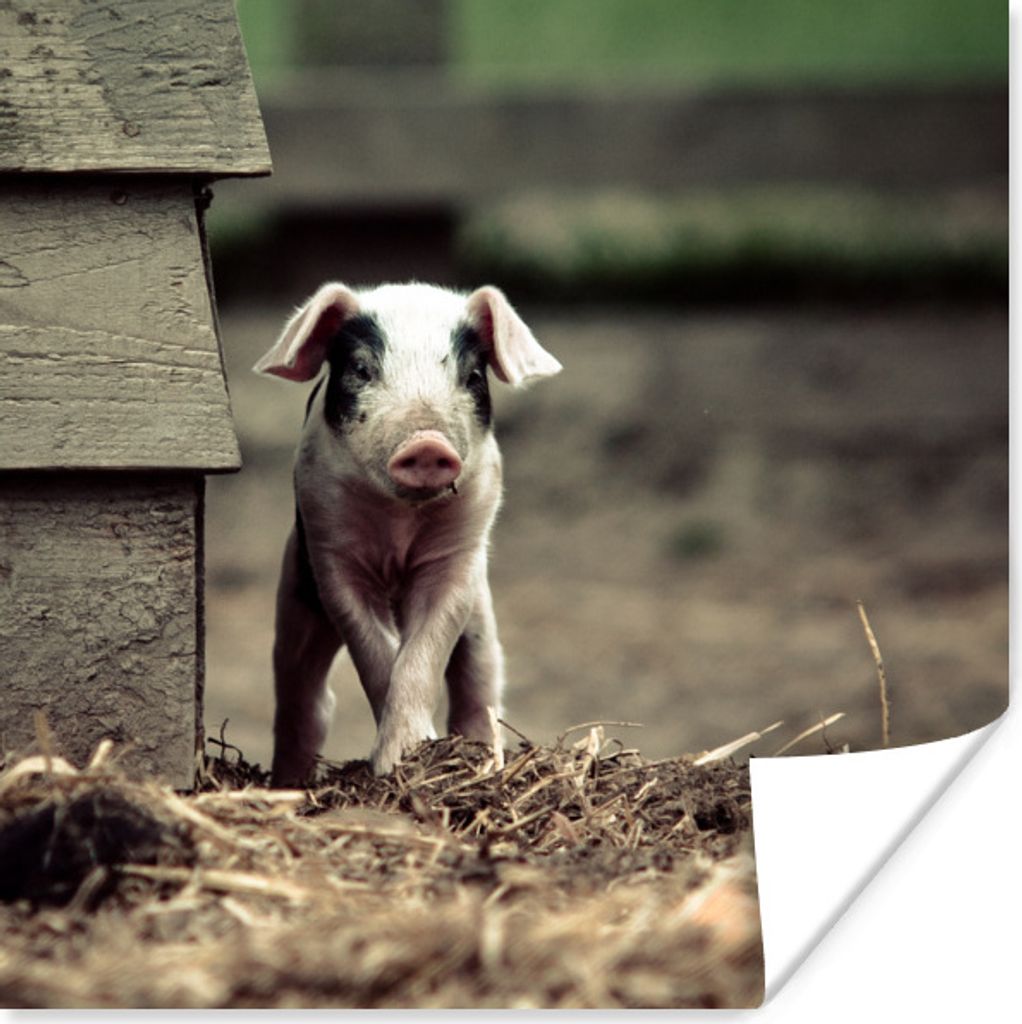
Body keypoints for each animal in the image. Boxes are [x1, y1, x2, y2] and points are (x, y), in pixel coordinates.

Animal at [254, 282, 562, 785]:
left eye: (472, 375)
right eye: (361, 369)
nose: (427, 444)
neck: (400, 525)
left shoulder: (459, 553)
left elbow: (422, 653)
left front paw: (414, 754)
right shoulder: (330, 549)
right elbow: (377, 652)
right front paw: (394, 763)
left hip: (481, 610)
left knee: (481, 680)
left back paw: (486, 759)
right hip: (295, 594)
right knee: (305, 698)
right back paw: (289, 783)